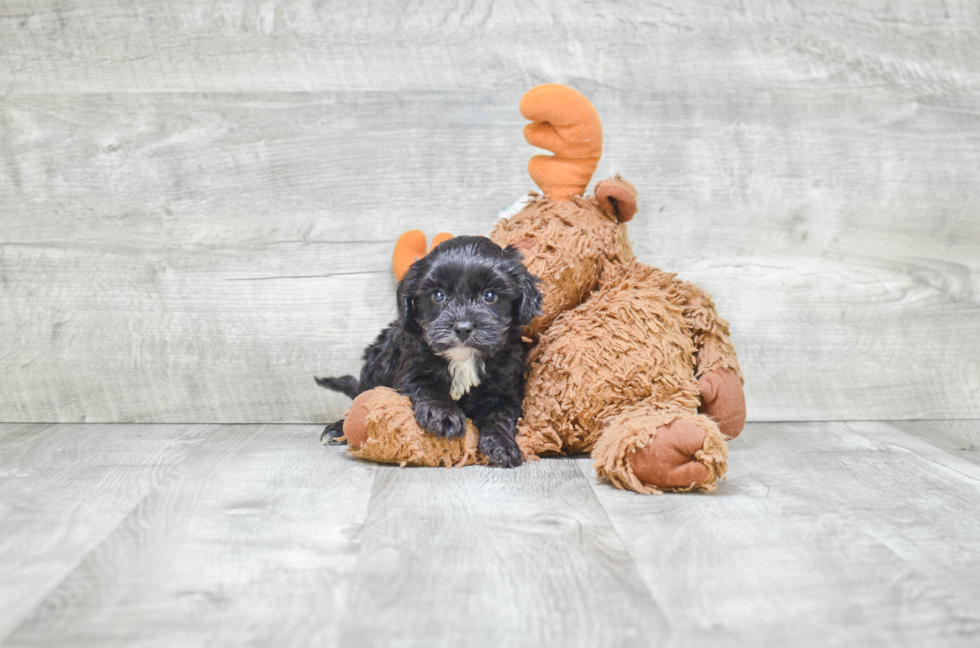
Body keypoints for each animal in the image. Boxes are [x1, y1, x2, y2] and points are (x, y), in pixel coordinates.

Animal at [316, 235, 540, 468]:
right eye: (438, 295)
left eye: (490, 295)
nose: (463, 327)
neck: (463, 359)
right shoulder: (410, 371)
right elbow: (428, 388)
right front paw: (445, 417)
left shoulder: (506, 389)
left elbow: (501, 415)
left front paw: (502, 445)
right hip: (378, 359)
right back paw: (337, 429)